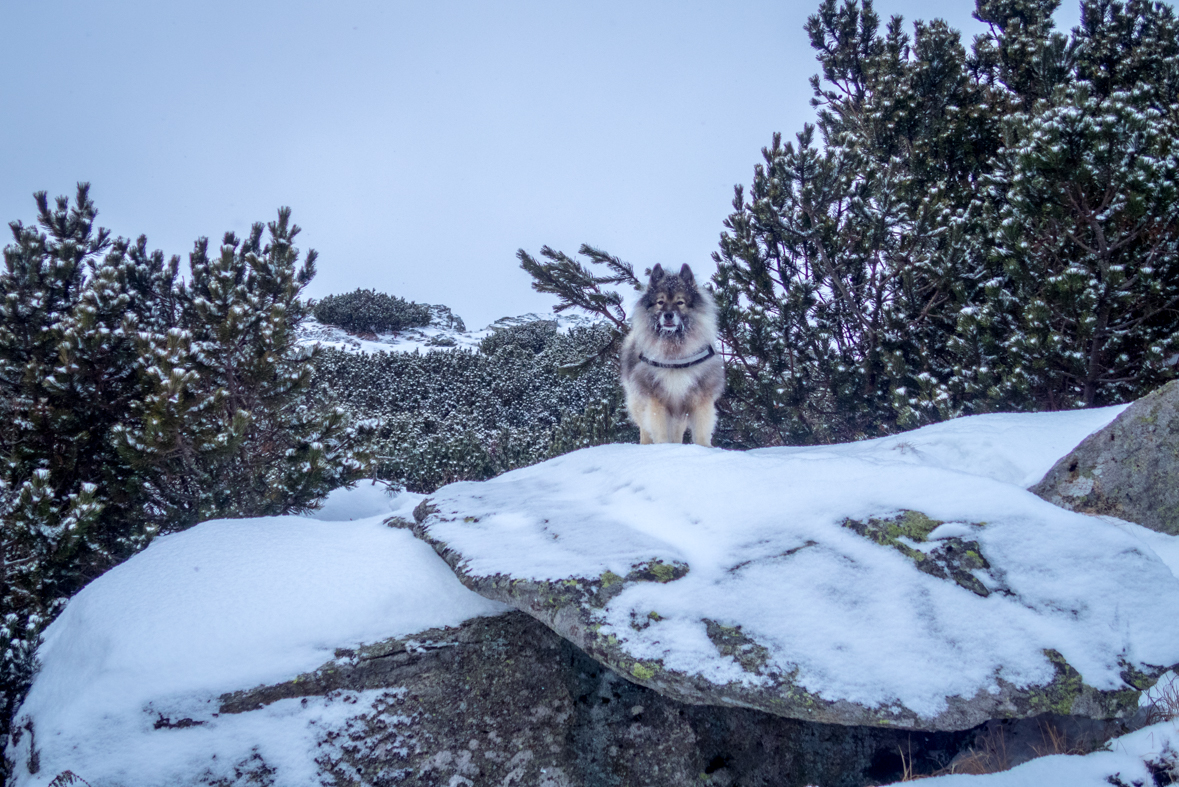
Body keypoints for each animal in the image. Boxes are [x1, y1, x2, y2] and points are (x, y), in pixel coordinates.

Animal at [622, 263, 721, 445]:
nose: (668, 314)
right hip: (638, 401)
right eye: (660, 302)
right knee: (644, 429)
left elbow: (701, 432)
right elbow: (659, 431)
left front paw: (704, 448)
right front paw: (663, 447)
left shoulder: (700, 399)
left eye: (680, 302)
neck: (674, 351)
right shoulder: (656, 400)